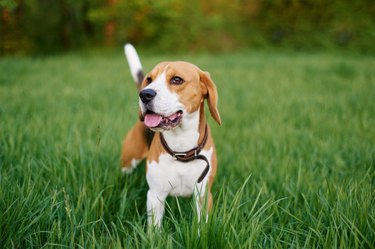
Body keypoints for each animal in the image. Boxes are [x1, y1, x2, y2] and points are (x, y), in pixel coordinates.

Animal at [120, 43, 222, 227]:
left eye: (176, 80)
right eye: (149, 79)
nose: (144, 94)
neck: (181, 148)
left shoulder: (203, 194)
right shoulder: (155, 195)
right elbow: (155, 229)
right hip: (129, 161)